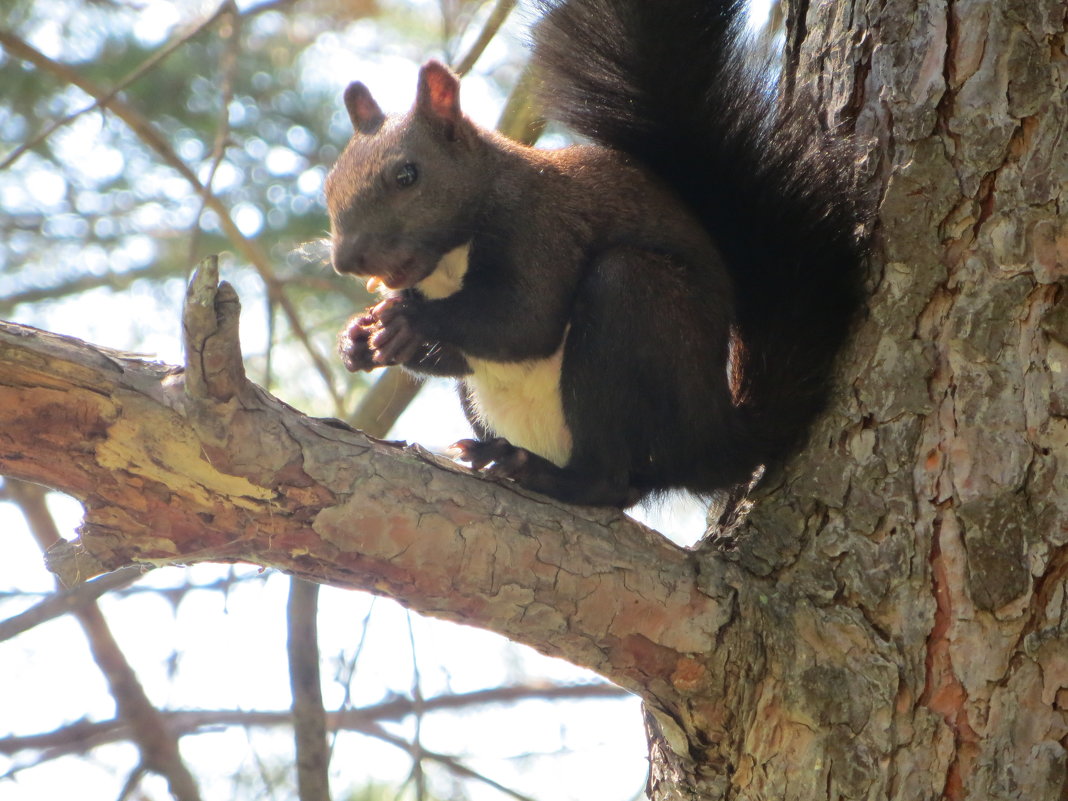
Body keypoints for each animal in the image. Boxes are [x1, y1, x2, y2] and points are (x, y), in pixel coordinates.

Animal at [324, 0, 867, 508]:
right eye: (329, 185)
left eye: (407, 175)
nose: (347, 261)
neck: (447, 263)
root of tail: (714, 441)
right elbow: (464, 352)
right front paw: (358, 339)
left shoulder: (541, 228)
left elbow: (524, 322)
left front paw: (407, 319)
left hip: (637, 311)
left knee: (609, 481)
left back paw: (543, 473)